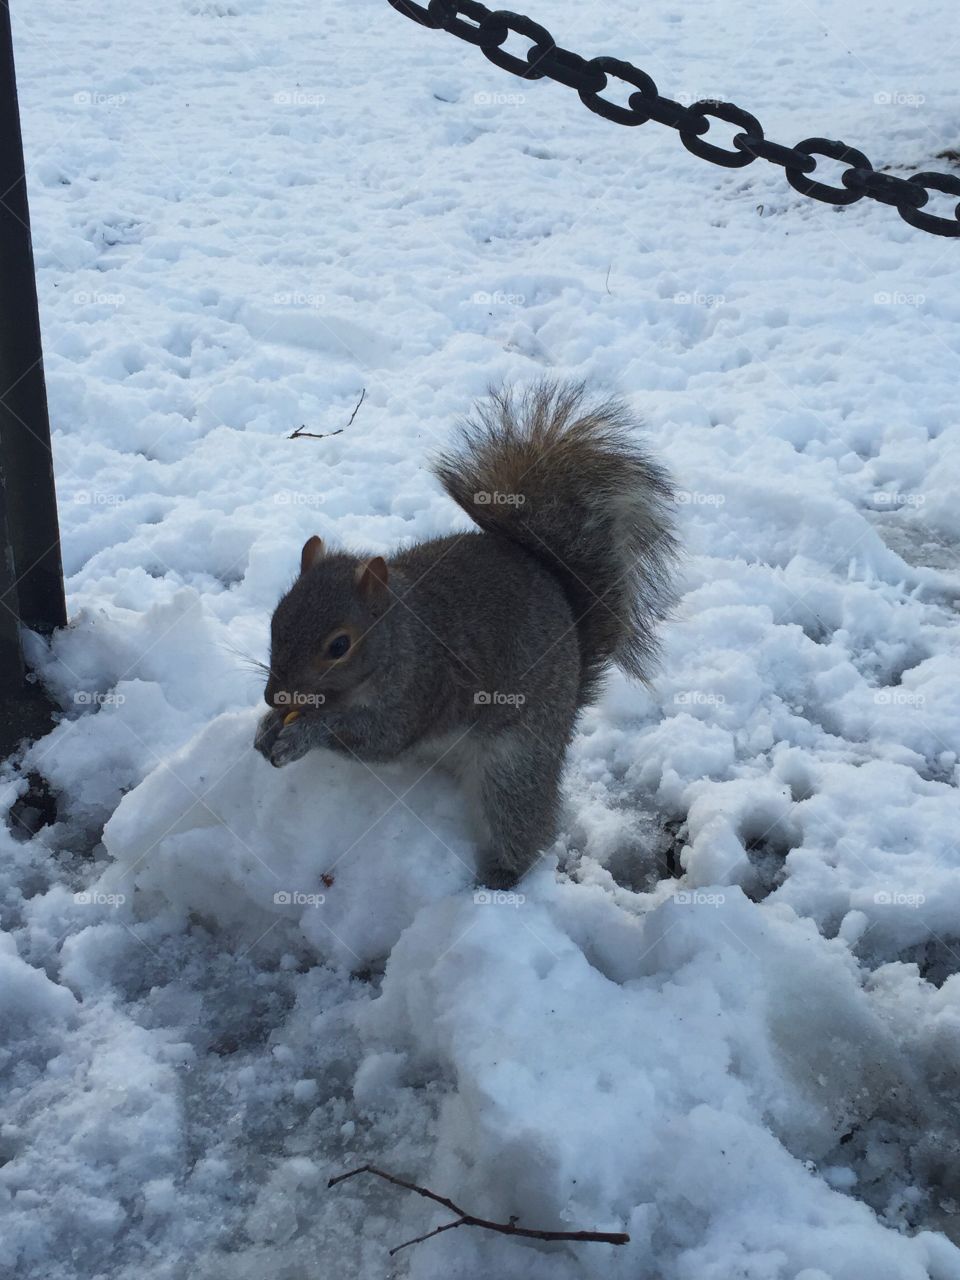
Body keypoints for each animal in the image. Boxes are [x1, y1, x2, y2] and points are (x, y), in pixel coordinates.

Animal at [253, 378, 675, 890]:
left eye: (339, 645)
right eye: (276, 619)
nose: (275, 697)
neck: (401, 635)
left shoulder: (420, 689)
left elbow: (377, 738)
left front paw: (304, 733)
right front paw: (267, 726)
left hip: (515, 763)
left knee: (520, 823)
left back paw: (497, 880)